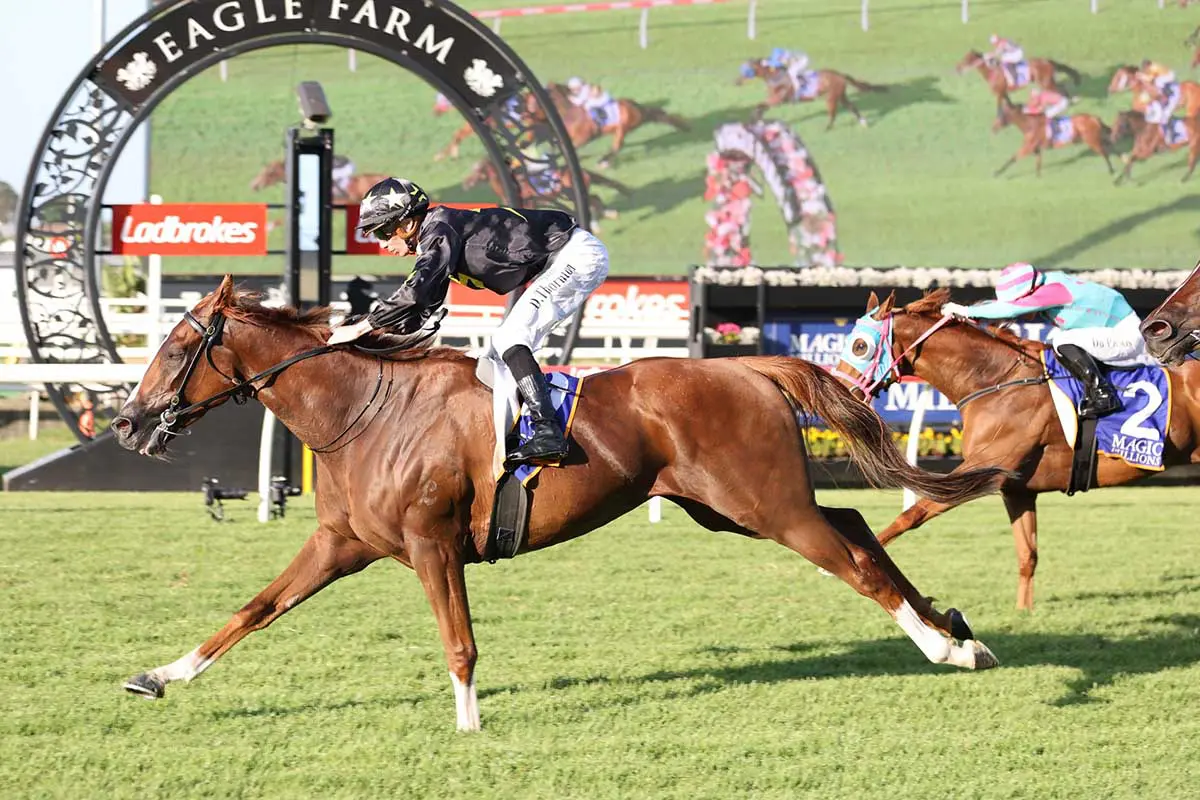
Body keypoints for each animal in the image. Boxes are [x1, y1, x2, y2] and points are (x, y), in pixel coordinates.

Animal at [114, 278, 1012, 729]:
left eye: (177, 345)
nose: (125, 420)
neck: (363, 410)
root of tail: (747, 364)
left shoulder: (433, 544)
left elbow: (460, 643)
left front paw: (469, 726)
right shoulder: (341, 544)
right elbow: (254, 609)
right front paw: (159, 676)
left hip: (766, 505)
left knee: (850, 561)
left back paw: (944, 647)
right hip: (734, 506)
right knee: (856, 525)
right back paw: (954, 626)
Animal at [523, 82, 691, 169]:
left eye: (533, 99)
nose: (526, 114)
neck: (569, 113)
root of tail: (635, 106)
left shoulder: (582, 138)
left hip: (622, 128)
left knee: (617, 145)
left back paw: (604, 161)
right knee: (658, 115)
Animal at [729, 61, 883, 130]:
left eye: (747, 71)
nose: (736, 81)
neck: (776, 77)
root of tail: (841, 75)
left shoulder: (777, 99)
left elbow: (758, 106)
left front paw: (755, 121)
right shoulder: (773, 100)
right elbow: (760, 108)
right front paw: (758, 121)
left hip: (831, 97)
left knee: (833, 113)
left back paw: (827, 128)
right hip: (841, 96)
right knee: (852, 107)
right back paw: (863, 123)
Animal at [830, 291, 1200, 609]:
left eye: (860, 346)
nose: (841, 390)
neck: (996, 381)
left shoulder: (983, 466)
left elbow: (913, 513)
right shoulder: (1017, 488)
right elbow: (1027, 555)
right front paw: (1024, 612)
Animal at [950, 50, 1084, 100]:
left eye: (966, 60)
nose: (957, 68)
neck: (992, 71)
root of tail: (1048, 61)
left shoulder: (999, 93)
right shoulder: (1003, 93)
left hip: (1046, 83)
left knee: (1061, 91)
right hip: (1047, 82)